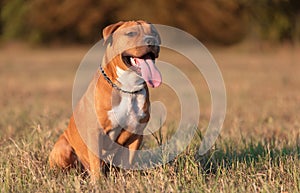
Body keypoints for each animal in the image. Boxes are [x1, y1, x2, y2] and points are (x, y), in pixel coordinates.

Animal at [49, 20, 162, 182]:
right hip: (63, 147)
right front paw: (98, 183)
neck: (127, 88)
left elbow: (129, 160)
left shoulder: (136, 134)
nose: (151, 40)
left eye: (153, 33)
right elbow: (96, 162)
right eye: (131, 33)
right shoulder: (95, 133)